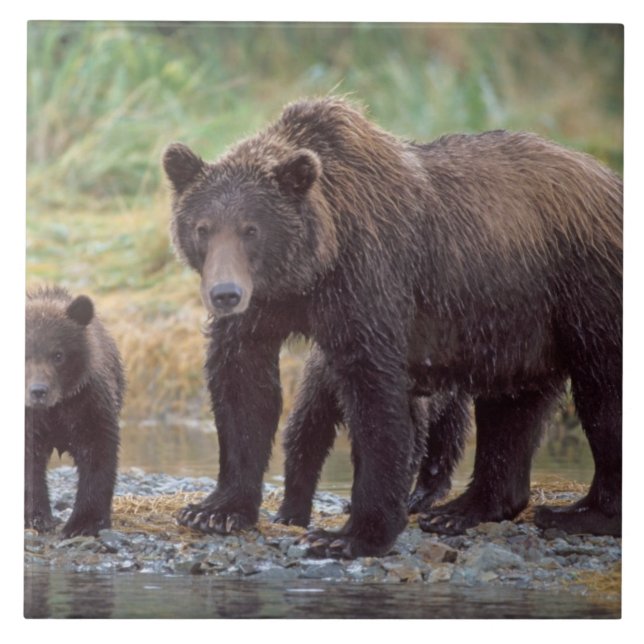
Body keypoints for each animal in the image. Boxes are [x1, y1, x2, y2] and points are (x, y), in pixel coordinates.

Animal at [25, 286, 124, 537]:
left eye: (58, 355)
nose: (38, 391)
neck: (55, 407)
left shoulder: (87, 404)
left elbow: (97, 454)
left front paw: (84, 523)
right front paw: (36, 518)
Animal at [163, 96, 622, 557]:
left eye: (251, 229)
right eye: (202, 228)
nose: (225, 293)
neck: (312, 271)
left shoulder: (369, 281)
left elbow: (374, 396)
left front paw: (352, 534)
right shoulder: (264, 308)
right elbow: (243, 385)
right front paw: (215, 510)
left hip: (584, 288)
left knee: (603, 395)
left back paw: (581, 515)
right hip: (518, 324)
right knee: (512, 407)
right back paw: (462, 510)